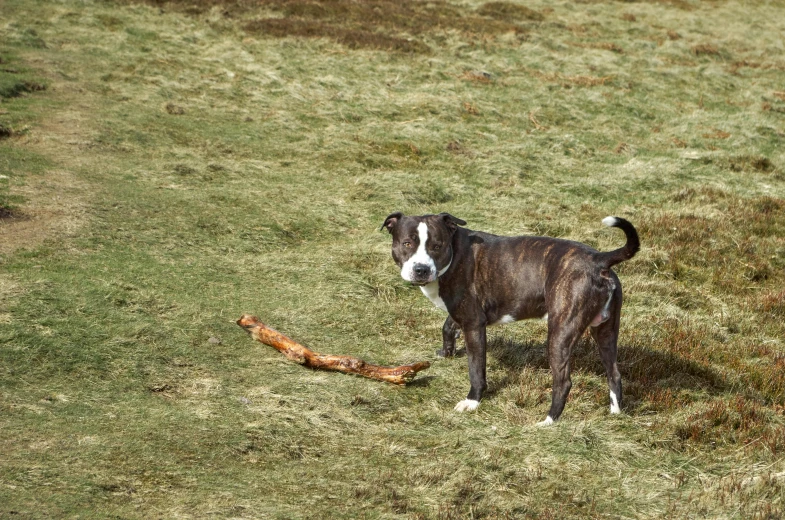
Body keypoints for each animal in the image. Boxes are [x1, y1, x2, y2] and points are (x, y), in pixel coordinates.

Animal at [380, 213, 636, 424]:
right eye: (407, 243)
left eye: (436, 246)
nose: (421, 269)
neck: (455, 253)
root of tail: (599, 259)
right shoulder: (462, 312)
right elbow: (448, 325)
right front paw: (447, 352)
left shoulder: (474, 325)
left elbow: (476, 368)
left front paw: (472, 401)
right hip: (605, 331)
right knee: (614, 373)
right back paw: (615, 414)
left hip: (561, 332)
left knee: (563, 381)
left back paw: (548, 421)